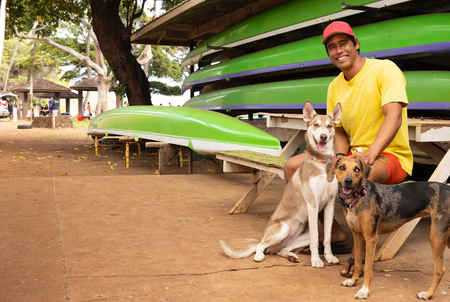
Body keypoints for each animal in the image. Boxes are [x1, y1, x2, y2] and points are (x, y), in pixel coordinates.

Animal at [221, 101, 342, 266]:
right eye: (316, 125)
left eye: (329, 126)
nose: (323, 137)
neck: (322, 162)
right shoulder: (312, 204)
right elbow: (315, 241)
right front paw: (316, 260)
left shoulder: (330, 204)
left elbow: (328, 238)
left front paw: (329, 257)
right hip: (281, 230)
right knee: (259, 245)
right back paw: (259, 256)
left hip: (299, 237)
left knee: (282, 250)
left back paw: (291, 256)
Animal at [326, 158, 450, 300]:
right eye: (341, 167)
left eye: (357, 169)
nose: (348, 181)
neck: (357, 198)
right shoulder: (357, 236)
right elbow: (357, 263)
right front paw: (352, 281)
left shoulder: (371, 239)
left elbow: (367, 268)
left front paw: (364, 290)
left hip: (436, 237)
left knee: (440, 270)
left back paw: (428, 294)